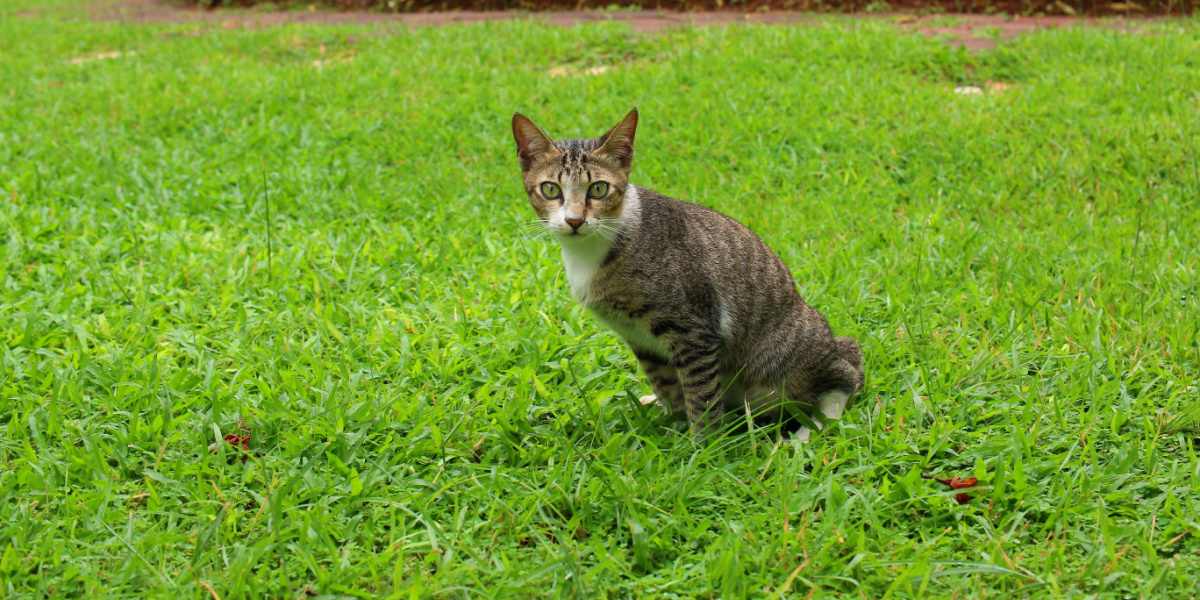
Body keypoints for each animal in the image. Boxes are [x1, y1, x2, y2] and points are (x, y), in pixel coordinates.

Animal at [506, 109, 864, 436]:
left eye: (598, 189)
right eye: (551, 190)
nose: (575, 220)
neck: (593, 251)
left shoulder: (694, 329)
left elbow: (700, 395)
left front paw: (703, 447)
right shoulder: (642, 340)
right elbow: (670, 387)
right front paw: (674, 426)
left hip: (783, 358)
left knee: (846, 373)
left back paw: (811, 429)